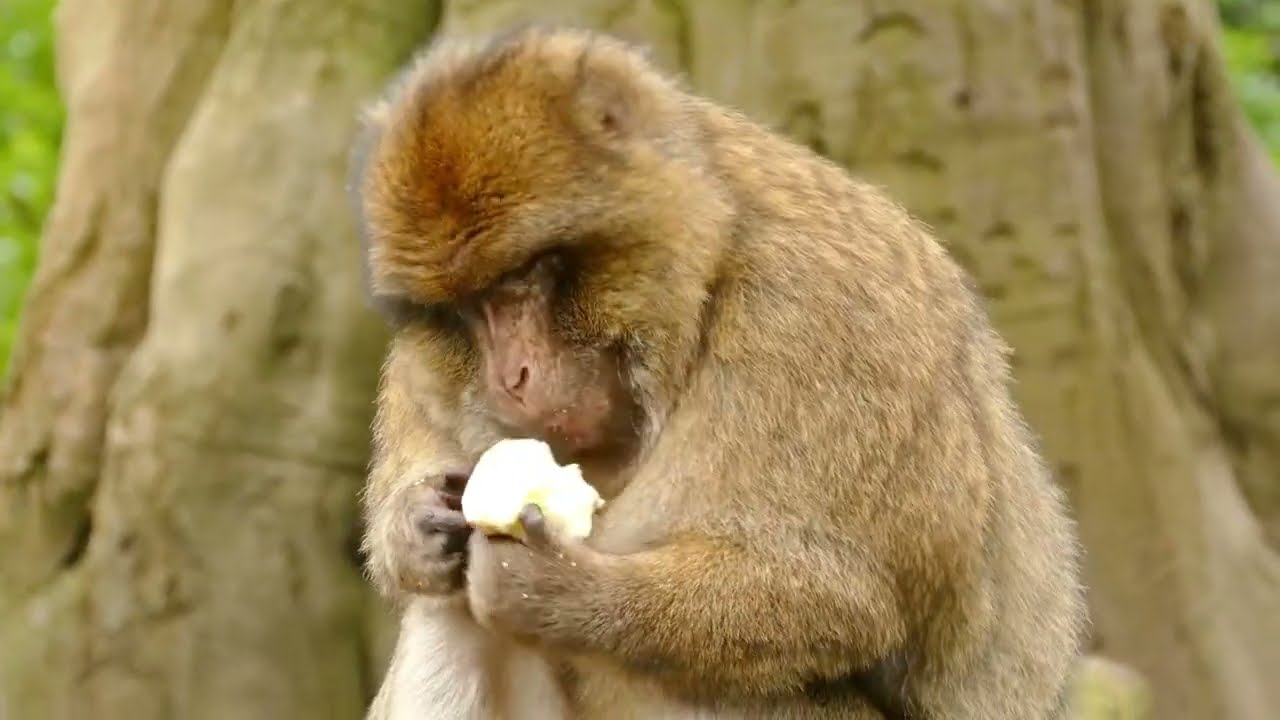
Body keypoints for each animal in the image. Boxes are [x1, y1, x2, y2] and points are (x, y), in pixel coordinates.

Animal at [348, 25, 1087, 720]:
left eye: (524, 276)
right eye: (466, 309)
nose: (512, 376)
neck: (705, 277)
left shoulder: (816, 317)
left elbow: (841, 599)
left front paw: (554, 586)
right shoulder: (419, 380)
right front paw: (415, 528)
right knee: (445, 613)